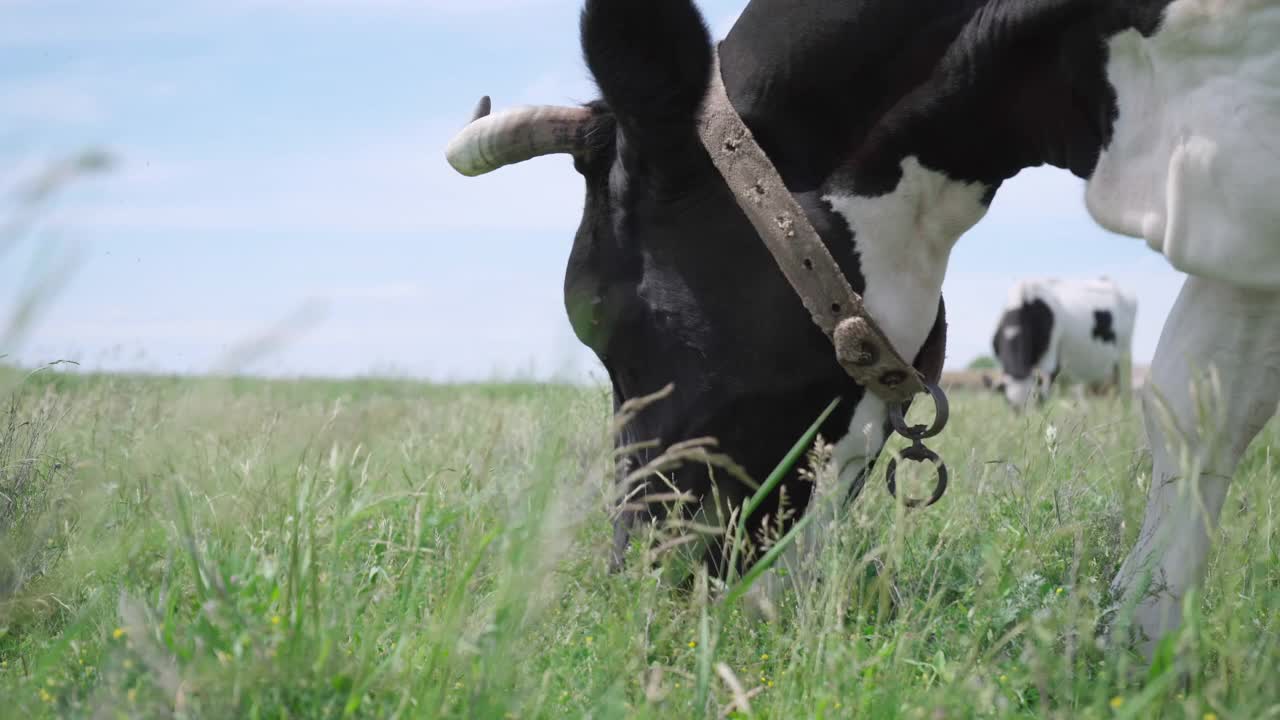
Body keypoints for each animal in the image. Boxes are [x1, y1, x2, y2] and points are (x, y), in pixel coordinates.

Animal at [983, 275, 1136, 407]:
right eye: (1011, 406)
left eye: (1033, 401)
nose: (1023, 420)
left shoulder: (1050, 357)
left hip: (1123, 356)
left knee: (1120, 387)